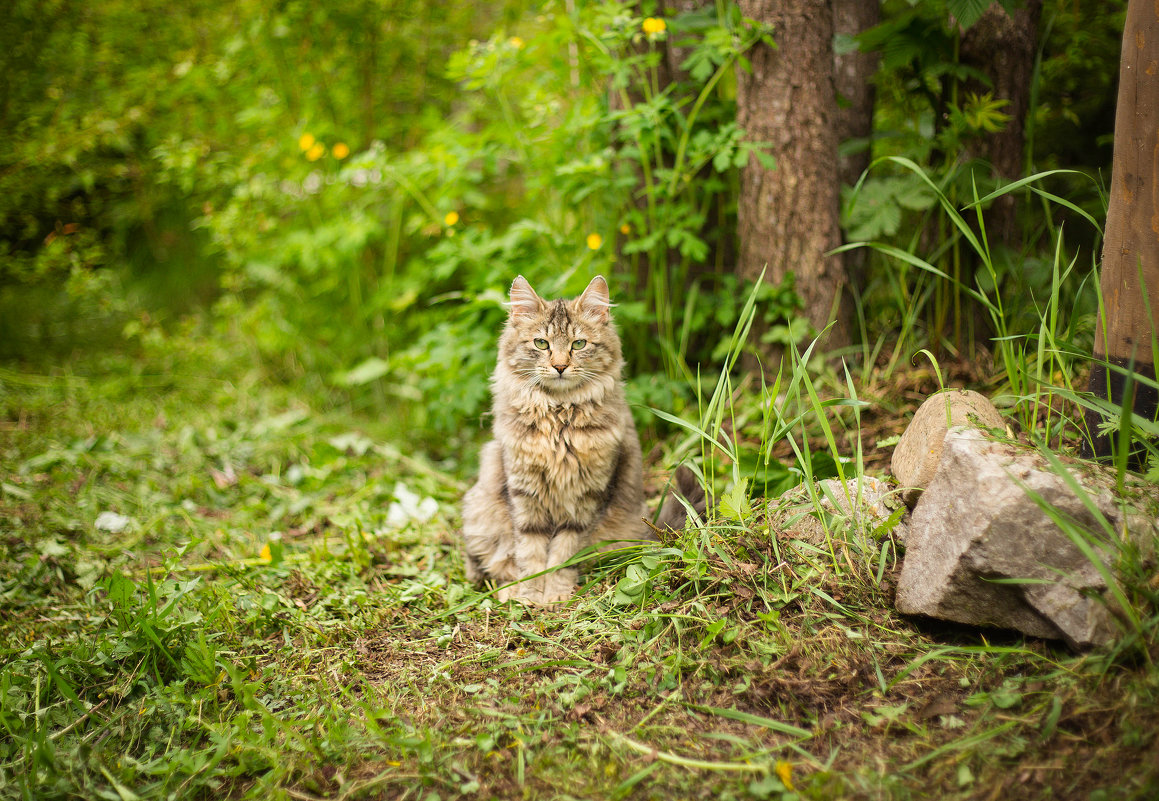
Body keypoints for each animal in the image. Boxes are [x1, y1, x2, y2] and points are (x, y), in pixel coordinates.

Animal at [458, 275, 695, 607]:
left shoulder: (586, 498)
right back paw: (509, 590)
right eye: (541, 344)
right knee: (487, 564)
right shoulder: (523, 491)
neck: (559, 418)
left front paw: (555, 593)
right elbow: (529, 551)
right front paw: (530, 593)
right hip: (480, 509)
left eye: (578, 344)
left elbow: (563, 554)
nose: (559, 366)